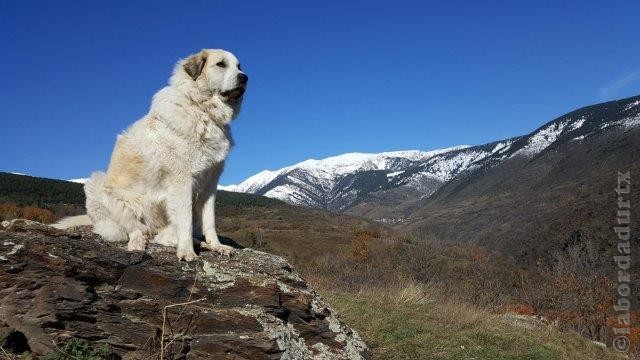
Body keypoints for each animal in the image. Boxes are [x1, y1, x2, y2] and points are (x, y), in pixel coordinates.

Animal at [81, 48, 249, 262]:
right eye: (221, 64)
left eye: (239, 66)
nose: (244, 77)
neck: (200, 109)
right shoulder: (182, 180)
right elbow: (185, 219)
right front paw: (187, 251)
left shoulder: (209, 185)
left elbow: (209, 220)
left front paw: (216, 245)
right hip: (99, 185)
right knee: (134, 229)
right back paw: (138, 244)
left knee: (160, 237)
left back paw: (199, 243)